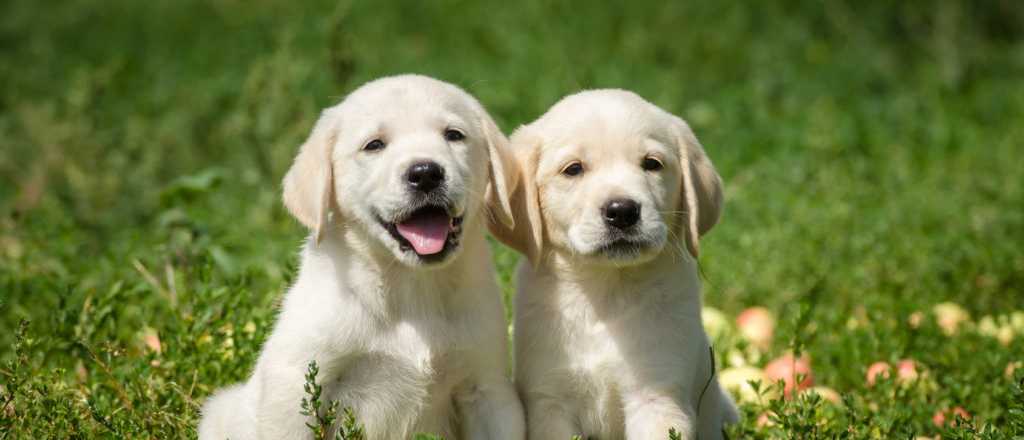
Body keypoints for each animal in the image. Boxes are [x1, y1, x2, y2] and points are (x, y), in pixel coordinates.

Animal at [197, 74, 528, 440]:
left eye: (454, 135)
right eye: (374, 145)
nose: (426, 172)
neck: (411, 287)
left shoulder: (486, 387)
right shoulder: (296, 386)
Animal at [493, 90, 741, 440]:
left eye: (652, 164)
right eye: (573, 169)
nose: (622, 211)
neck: (606, 291)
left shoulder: (656, 396)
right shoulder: (550, 401)